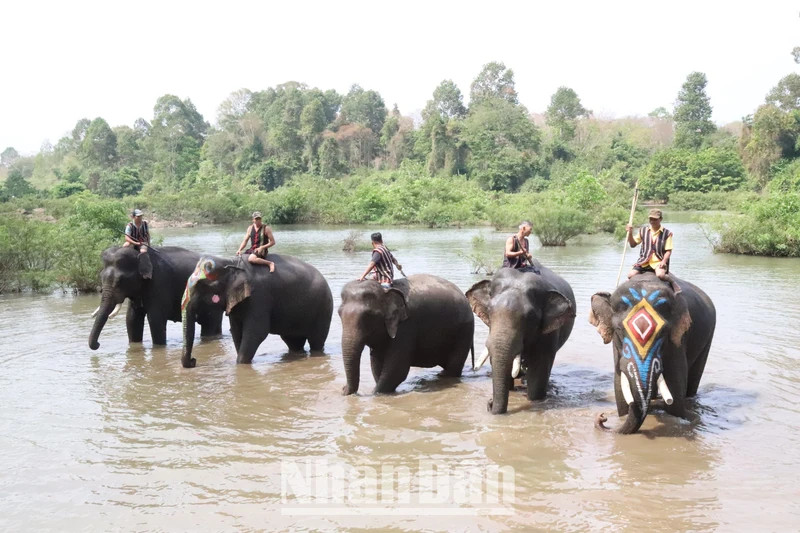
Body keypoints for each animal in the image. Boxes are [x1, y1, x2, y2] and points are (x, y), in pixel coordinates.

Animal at [89, 246, 223, 350]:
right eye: (101, 277)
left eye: (120, 281)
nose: (98, 344)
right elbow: (132, 318)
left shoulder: (159, 283)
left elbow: (155, 319)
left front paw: (158, 348)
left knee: (209, 324)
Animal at [181, 253, 333, 368]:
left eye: (202, 285)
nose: (194, 361)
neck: (231, 262)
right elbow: (236, 331)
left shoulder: (259, 296)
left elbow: (257, 331)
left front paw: (241, 364)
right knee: (294, 342)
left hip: (323, 309)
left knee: (316, 341)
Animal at [339, 275, 474, 395]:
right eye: (339, 313)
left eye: (368, 316)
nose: (343, 388)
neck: (385, 290)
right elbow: (377, 365)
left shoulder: (406, 328)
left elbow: (396, 370)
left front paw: (375, 394)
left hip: (464, 332)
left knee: (452, 368)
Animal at [467, 265, 576, 415]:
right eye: (489, 311)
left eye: (530, 317)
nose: (489, 403)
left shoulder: (548, 333)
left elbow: (539, 369)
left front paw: (535, 400)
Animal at [589, 272, 716, 434]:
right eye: (618, 330)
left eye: (664, 332)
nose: (602, 417)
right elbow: (619, 389)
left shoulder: (678, 341)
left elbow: (676, 390)